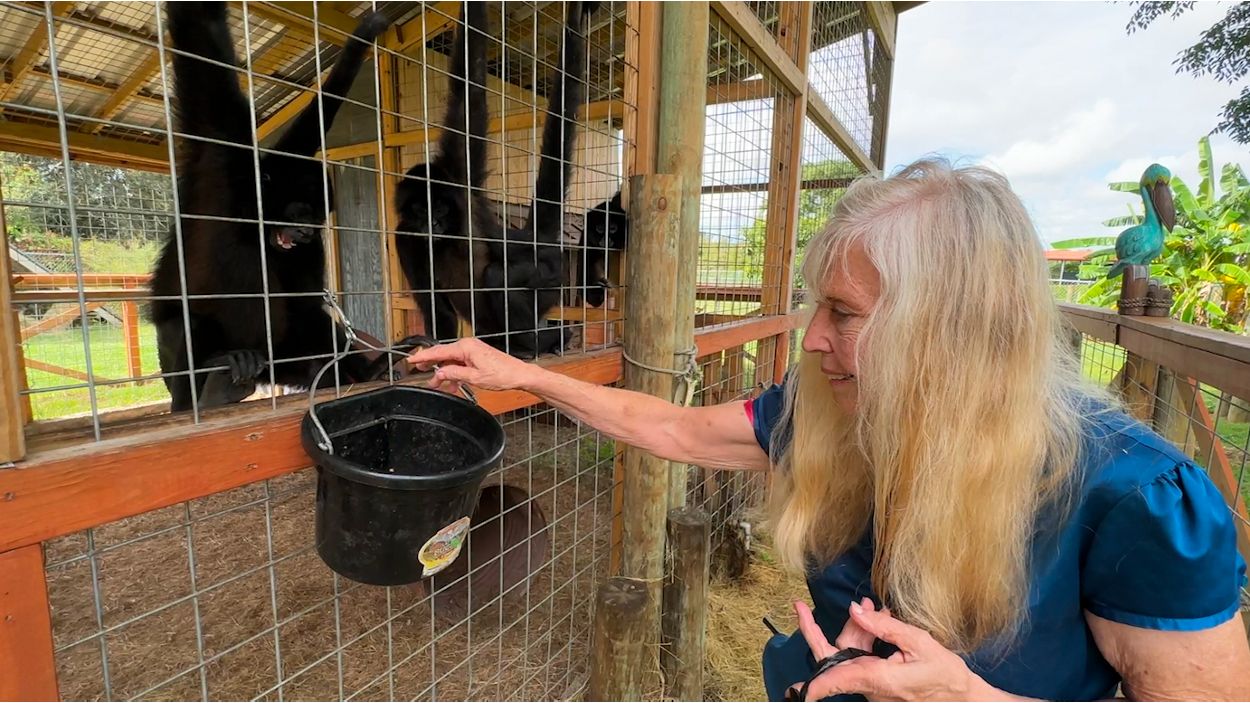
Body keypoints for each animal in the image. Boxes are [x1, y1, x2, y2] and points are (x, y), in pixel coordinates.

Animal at [148, 1, 406, 412]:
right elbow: (202, 29)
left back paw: (364, 371)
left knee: (306, 318)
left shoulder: (308, 247)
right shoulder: (224, 158)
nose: (304, 231)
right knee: (186, 324)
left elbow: (307, 304)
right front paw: (363, 36)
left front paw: (360, 41)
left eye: (317, 219)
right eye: (300, 212)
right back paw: (207, 394)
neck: (250, 227)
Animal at [393, 0, 600, 359]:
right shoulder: (405, 237)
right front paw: (436, 348)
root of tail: (536, 236)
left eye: (440, 209)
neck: (444, 240)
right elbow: (435, 304)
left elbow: (469, 89)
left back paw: (537, 342)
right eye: (420, 210)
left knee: (497, 273)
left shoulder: (459, 177)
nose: (432, 223)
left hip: (550, 276)